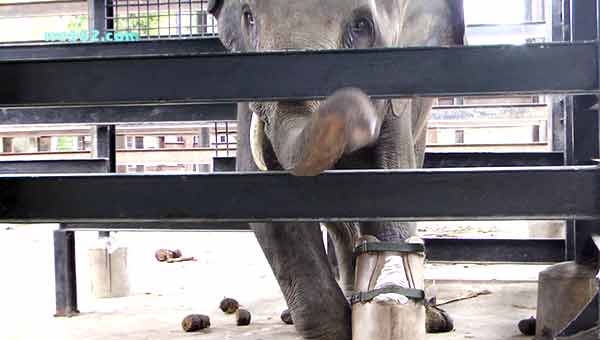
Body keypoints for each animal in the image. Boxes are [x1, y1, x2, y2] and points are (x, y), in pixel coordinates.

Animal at [209, 1, 466, 338]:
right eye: (248, 17)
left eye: (361, 25)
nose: (359, 111)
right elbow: (267, 204)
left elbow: (395, 187)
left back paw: (433, 318)